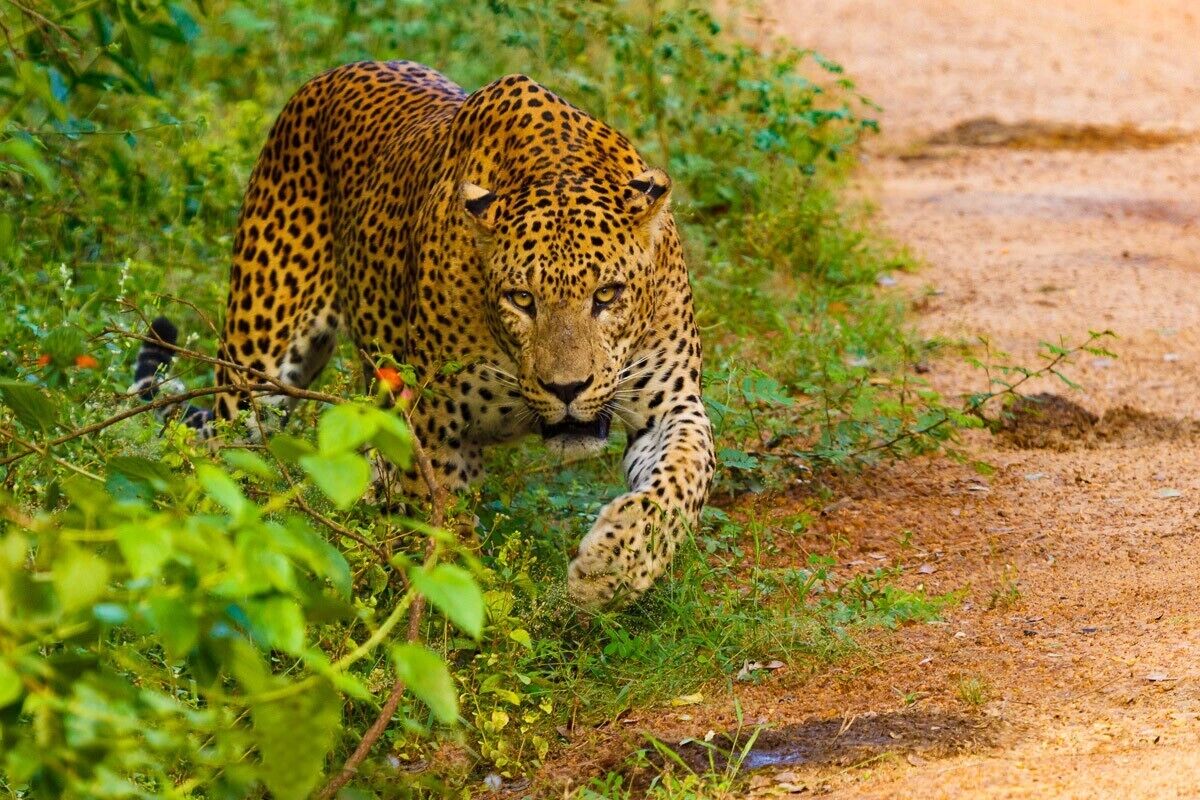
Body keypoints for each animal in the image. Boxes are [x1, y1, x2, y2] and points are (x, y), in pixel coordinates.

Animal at [134, 61, 715, 606]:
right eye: (521, 299)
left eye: (608, 295)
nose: (566, 389)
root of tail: (326, 78)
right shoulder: (433, 425)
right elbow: (447, 536)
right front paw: (472, 616)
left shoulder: (671, 402)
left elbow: (685, 477)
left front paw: (612, 569)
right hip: (256, 371)